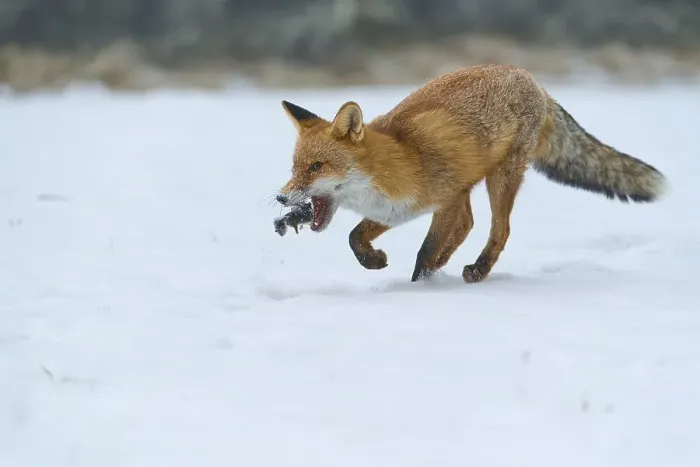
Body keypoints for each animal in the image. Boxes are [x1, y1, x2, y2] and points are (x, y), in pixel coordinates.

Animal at [275, 64, 667, 283]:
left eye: (317, 166)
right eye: (294, 167)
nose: (281, 197)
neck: (395, 163)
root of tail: (536, 83)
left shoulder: (443, 199)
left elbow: (424, 253)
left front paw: (421, 287)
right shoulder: (397, 210)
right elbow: (355, 237)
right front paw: (374, 261)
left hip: (502, 177)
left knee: (499, 229)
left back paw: (478, 270)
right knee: (470, 223)